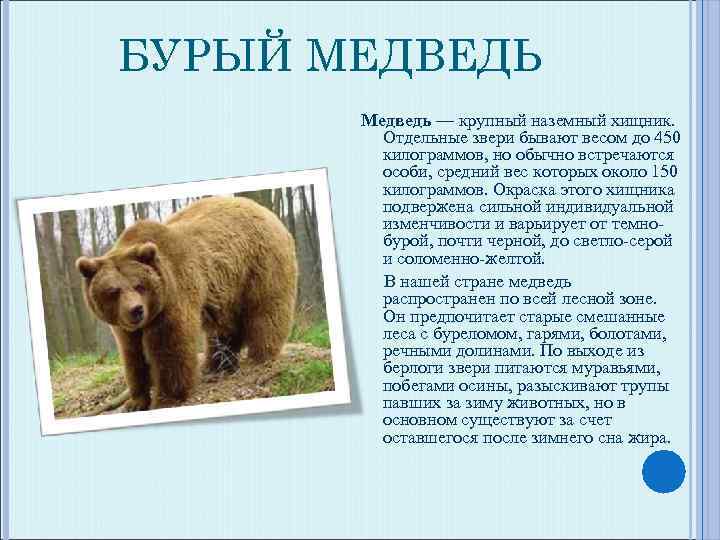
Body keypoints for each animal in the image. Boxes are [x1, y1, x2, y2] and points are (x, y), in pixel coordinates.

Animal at [75, 196, 298, 411]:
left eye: (139, 285)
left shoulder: (173, 295)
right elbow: (133, 355)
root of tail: (269, 213)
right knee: (224, 327)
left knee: (266, 310)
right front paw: (135, 401)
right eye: (114, 291)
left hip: (260, 264)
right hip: (228, 288)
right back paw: (217, 365)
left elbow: (170, 347)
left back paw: (260, 355)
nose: (136, 310)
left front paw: (167, 398)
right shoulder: (125, 326)